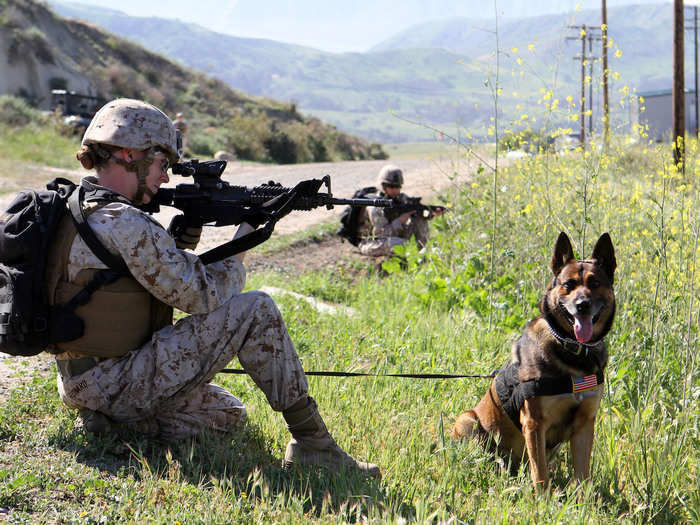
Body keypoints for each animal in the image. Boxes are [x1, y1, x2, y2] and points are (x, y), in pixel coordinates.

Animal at [452, 231, 616, 486]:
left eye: (595, 283)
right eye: (568, 285)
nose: (582, 305)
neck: (571, 350)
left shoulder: (585, 423)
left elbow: (582, 476)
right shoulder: (533, 423)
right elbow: (540, 475)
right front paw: (543, 497)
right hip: (467, 420)